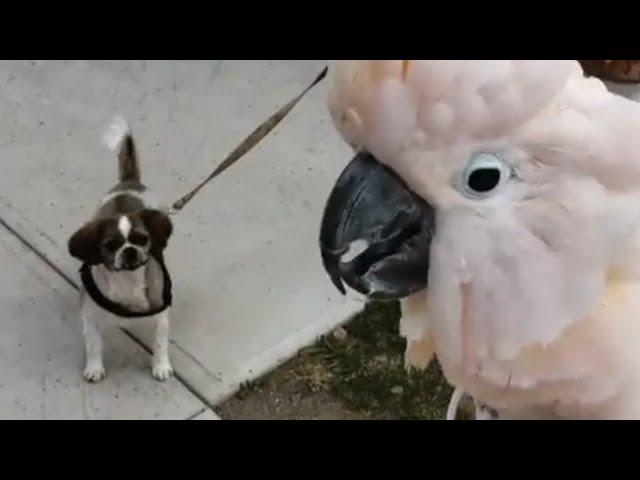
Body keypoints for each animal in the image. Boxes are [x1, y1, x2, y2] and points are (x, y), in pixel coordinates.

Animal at [68, 116, 175, 382]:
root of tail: (129, 181)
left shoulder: (161, 316)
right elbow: (93, 345)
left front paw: (160, 365)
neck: (127, 281)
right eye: (110, 245)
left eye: (141, 239)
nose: (129, 250)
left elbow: (160, 343)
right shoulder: (90, 318)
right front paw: (94, 367)